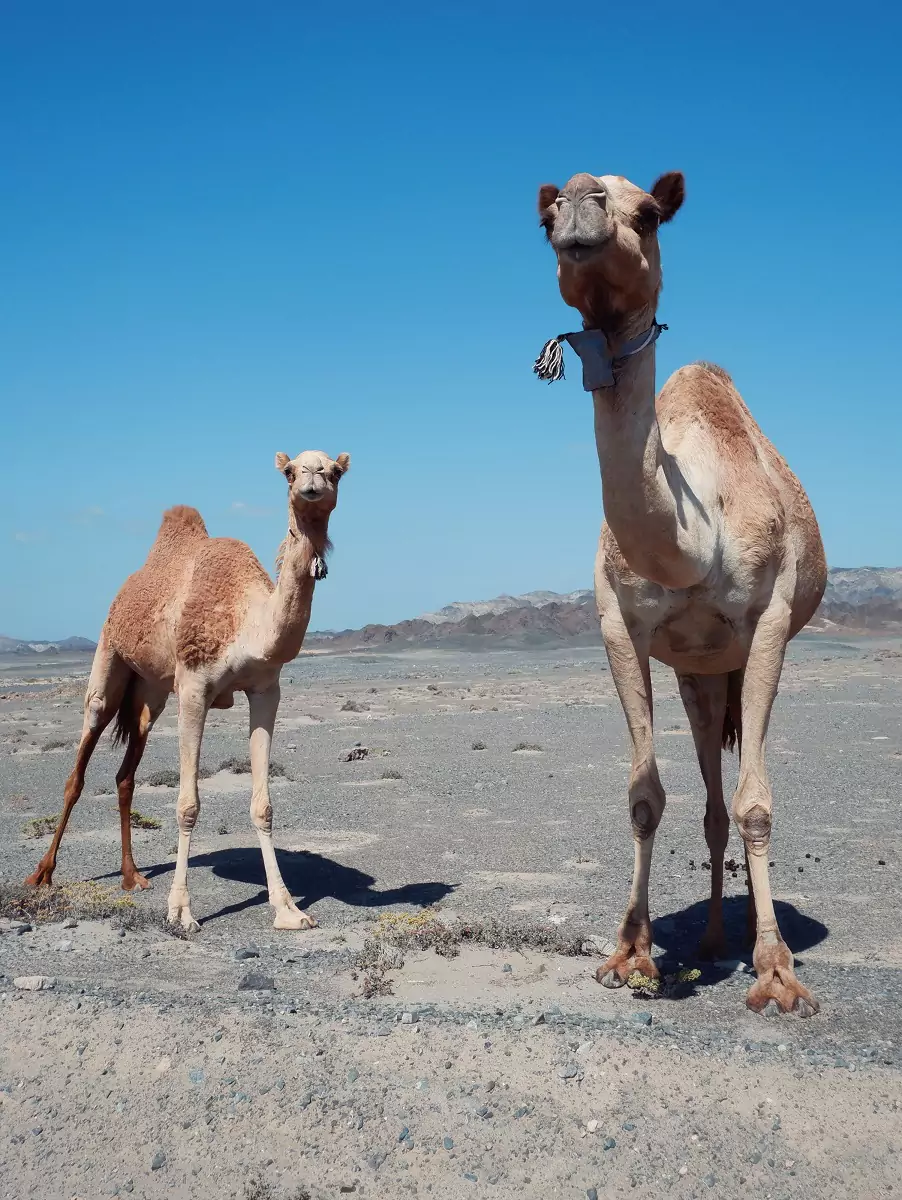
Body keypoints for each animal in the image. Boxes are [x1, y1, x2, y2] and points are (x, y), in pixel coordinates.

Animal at [26, 449, 350, 933]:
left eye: (335, 472)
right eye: (291, 471)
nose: (311, 484)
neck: (247, 621)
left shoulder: (265, 689)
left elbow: (263, 805)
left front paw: (287, 909)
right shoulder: (195, 687)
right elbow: (187, 805)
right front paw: (181, 911)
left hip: (152, 693)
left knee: (126, 773)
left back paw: (132, 876)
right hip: (109, 659)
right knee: (78, 768)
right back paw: (44, 874)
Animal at [534, 170, 826, 1016]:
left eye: (651, 214)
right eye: (545, 220)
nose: (580, 198)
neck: (695, 531)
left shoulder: (767, 623)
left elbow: (759, 802)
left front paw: (777, 974)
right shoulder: (618, 625)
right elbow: (644, 794)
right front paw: (632, 953)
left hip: (734, 659)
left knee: (734, 802)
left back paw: (747, 940)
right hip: (699, 674)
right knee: (710, 808)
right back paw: (710, 939)